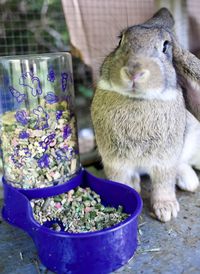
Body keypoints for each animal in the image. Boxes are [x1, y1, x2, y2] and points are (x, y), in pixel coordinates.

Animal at [91, 8, 200, 223]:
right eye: (120, 40)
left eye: (165, 47)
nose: (134, 72)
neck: (138, 100)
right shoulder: (114, 161)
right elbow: (121, 181)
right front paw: (129, 192)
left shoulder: (165, 160)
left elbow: (163, 184)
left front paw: (166, 211)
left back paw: (189, 182)